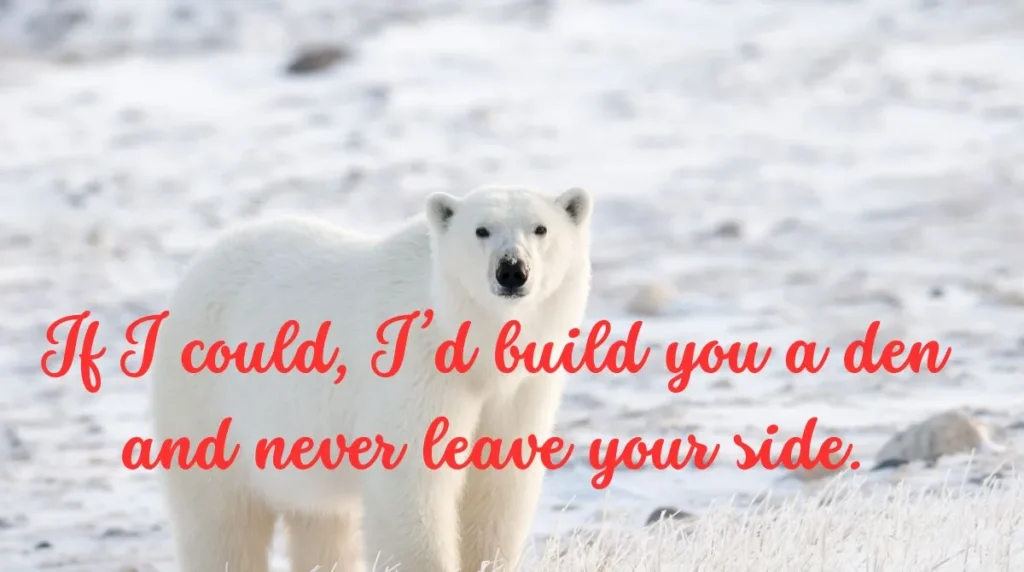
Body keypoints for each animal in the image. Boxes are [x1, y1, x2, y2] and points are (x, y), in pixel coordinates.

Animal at [149, 184, 594, 572]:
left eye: (541, 228)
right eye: (481, 229)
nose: (512, 270)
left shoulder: (522, 389)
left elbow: (498, 487)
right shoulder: (417, 372)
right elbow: (412, 486)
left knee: (322, 523)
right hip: (207, 402)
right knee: (221, 521)